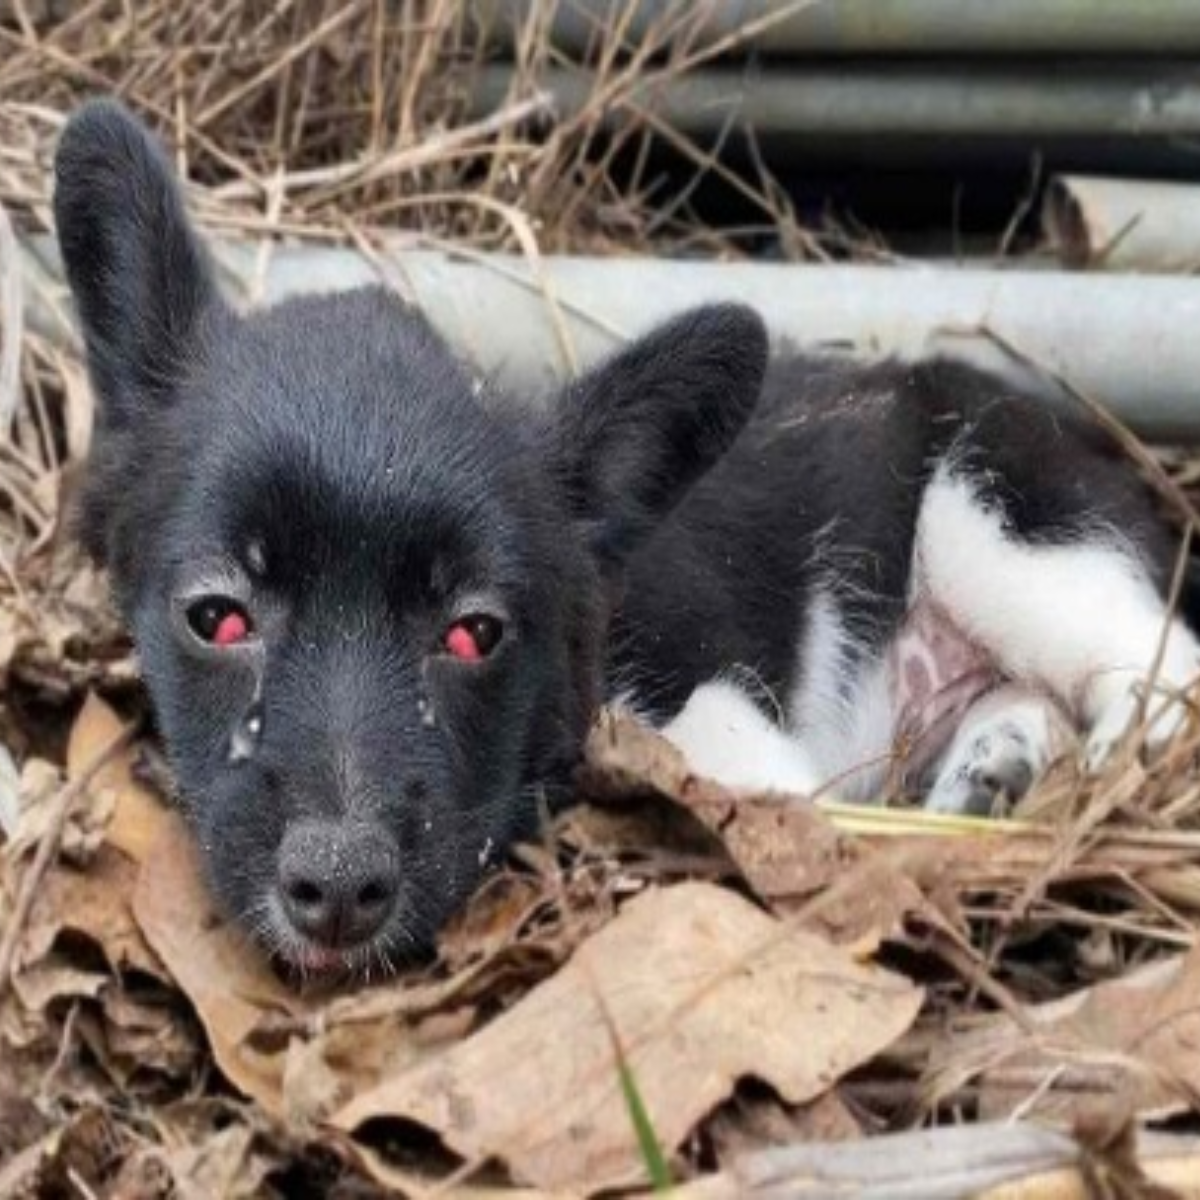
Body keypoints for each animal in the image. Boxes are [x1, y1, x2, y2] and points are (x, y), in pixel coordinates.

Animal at [54, 100, 1200, 974]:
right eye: (216, 617)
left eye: (475, 633)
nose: (337, 890)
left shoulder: (722, 716)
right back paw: (999, 766)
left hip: (1000, 516)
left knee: (1158, 665)